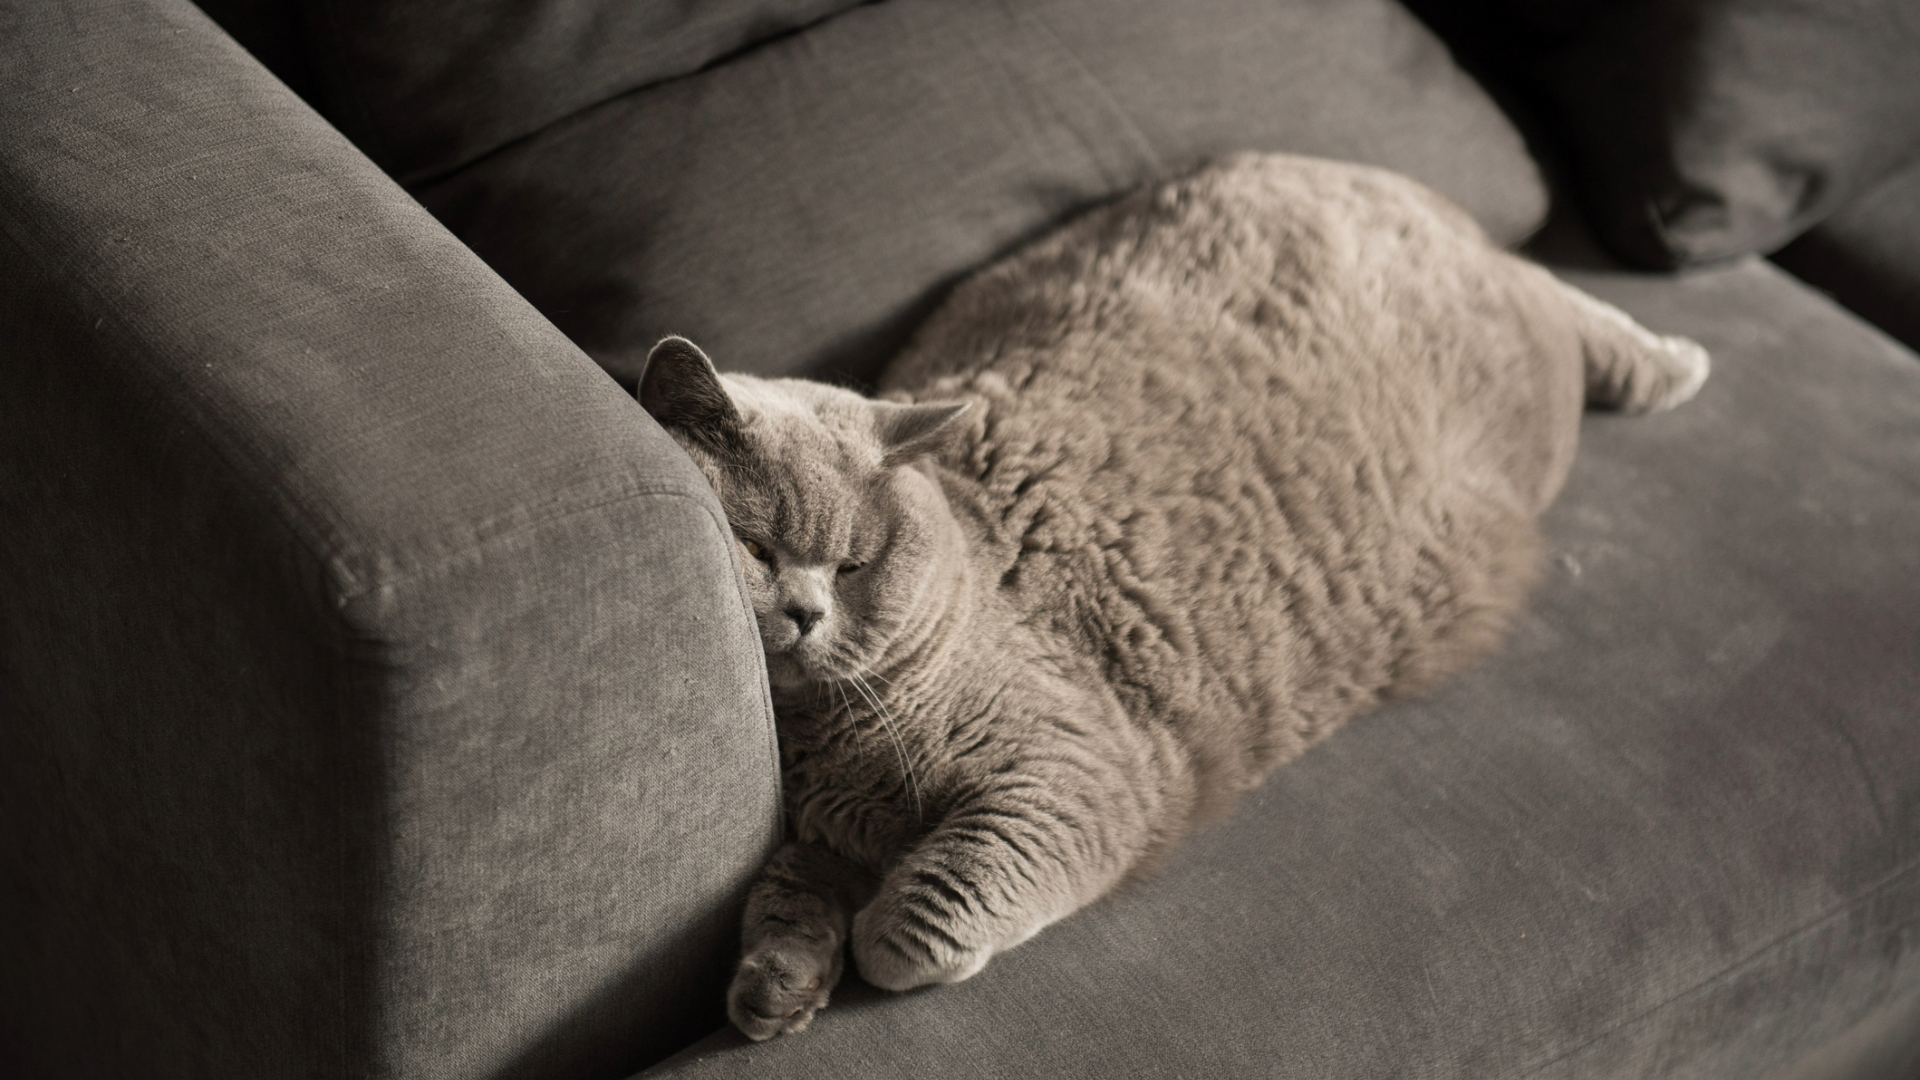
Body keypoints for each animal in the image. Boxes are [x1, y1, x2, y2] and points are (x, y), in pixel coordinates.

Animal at [637, 151, 1704, 1037]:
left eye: (856, 561)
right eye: (755, 548)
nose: (806, 612)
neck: (827, 741)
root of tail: (1361, 171)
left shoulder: (1073, 768)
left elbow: (930, 907)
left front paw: (872, 941)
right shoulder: (822, 829)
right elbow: (785, 892)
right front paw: (774, 989)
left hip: (1524, 368)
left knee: (1556, 290)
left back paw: (1674, 363)